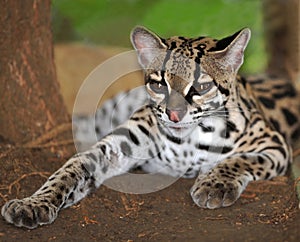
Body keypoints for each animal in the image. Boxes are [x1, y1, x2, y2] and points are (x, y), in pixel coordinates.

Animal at [1, 27, 298, 229]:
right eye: (158, 84)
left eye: (201, 87)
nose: (174, 114)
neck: (187, 141)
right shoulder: (114, 147)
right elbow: (69, 170)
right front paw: (33, 203)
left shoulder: (275, 145)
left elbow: (238, 160)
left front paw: (214, 184)